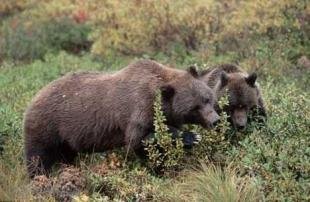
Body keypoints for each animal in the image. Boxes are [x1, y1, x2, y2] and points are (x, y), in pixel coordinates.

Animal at [23, 59, 218, 177]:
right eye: (195, 107)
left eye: (208, 98)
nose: (215, 120)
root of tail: (34, 96)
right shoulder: (139, 109)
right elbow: (138, 140)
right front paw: (191, 137)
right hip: (48, 124)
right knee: (38, 156)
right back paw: (39, 176)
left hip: (66, 138)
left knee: (67, 156)